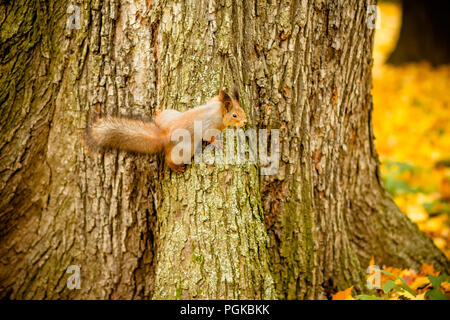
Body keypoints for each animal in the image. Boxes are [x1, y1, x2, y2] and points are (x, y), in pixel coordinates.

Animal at [86, 86, 248, 172]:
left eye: (242, 109)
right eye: (234, 115)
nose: (245, 121)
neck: (218, 112)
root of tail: (165, 136)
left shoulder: (213, 102)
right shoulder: (209, 126)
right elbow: (208, 137)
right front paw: (216, 142)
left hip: (170, 114)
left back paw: (158, 113)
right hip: (185, 149)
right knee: (169, 159)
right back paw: (176, 167)